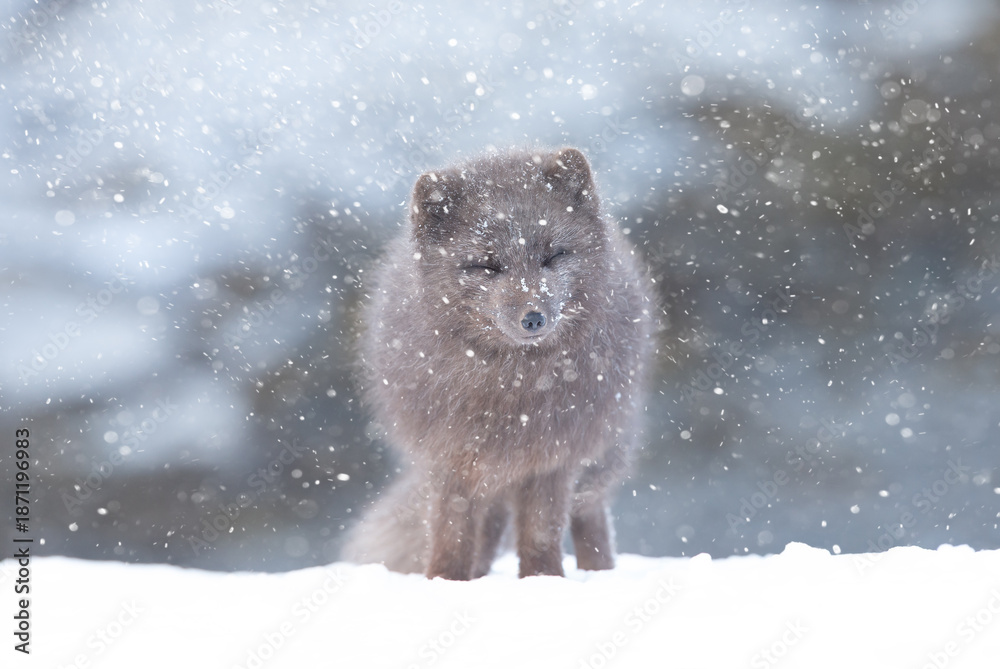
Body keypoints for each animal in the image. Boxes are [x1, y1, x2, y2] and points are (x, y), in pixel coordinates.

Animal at [342, 147, 657, 580]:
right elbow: (451, 531)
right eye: (487, 265)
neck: (510, 391)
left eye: (553, 255)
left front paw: (543, 582)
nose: (534, 318)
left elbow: (541, 533)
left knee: (589, 517)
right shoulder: (449, 459)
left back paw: (599, 574)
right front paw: (445, 581)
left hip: (600, 455)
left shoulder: (551, 459)